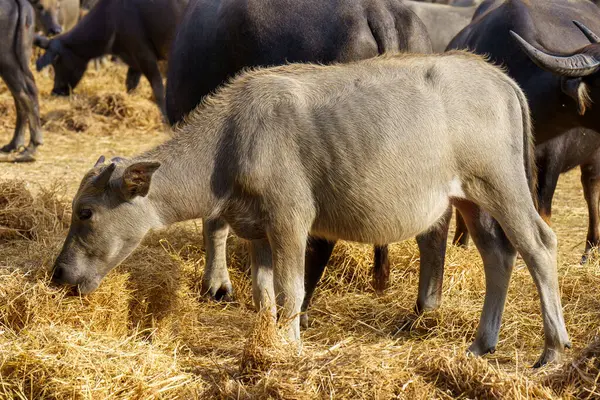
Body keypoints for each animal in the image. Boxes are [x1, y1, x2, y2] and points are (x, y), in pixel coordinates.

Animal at [34, 0, 188, 119]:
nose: (55, 91)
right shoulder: (133, 59)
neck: (112, 17)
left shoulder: (144, 55)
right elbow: (130, 84)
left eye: (57, 61)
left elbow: (158, 89)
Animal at [51, 52, 568, 366]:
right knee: (498, 255)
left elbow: (292, 291)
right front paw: (264, 343)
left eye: (86, 213)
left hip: (502, 183)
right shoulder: (257, 230)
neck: (230, 142)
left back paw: (552, 349)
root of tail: (500, 77)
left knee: (539, 245)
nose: (58, 275)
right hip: (469, 198)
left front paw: (291, 349)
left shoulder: (290, 220)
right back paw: (481, 344)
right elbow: (263, 294)